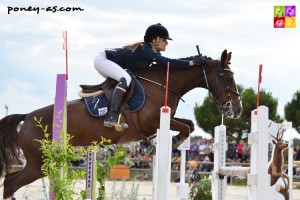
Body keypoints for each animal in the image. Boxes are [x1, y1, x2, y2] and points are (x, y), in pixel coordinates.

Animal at [0, 49, 241, 198]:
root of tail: (27, 118)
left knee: (9, 181)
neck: (163, 83)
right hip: (40, 162)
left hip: (40, 162)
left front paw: (156, 145)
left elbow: (189, 124)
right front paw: (164, 144)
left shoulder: (163, 120)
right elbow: (185, 127)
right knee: (11, 183)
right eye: (227, 78)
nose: (237, 110)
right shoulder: (150, 122)